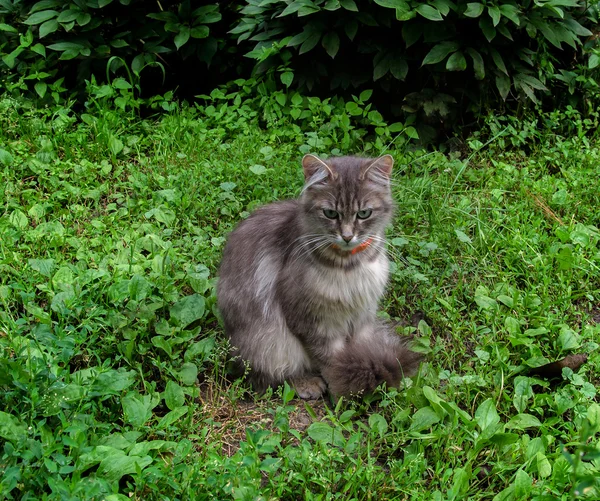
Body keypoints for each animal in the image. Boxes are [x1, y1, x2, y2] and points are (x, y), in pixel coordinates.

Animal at [217, 154, 422, 396]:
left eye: (364, 214)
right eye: (330, 213)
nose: (347, 236)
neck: (350, 266)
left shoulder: (363, 313)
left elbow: (359, 348)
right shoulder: (312, 320)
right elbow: (331, 359)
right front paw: (341, 388)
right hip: (267, 342)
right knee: (268, 376)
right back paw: (307, 383)